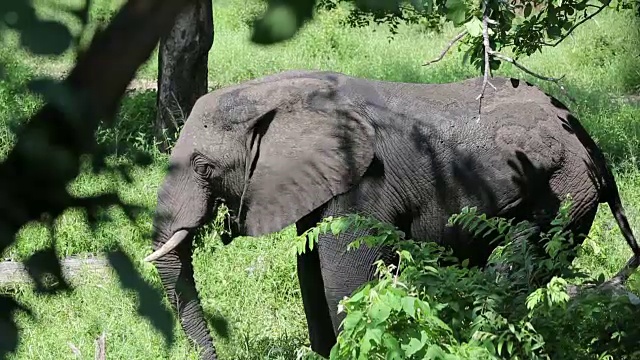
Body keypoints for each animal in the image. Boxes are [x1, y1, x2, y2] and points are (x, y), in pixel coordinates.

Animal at [141, 69, 640, 358]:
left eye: (204, 167)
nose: (216, 354)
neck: (276, 92)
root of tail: (583, 133)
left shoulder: (365, 181)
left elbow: (344, 276)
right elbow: (310, 271)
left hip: (564, 190)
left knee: (511, 270)